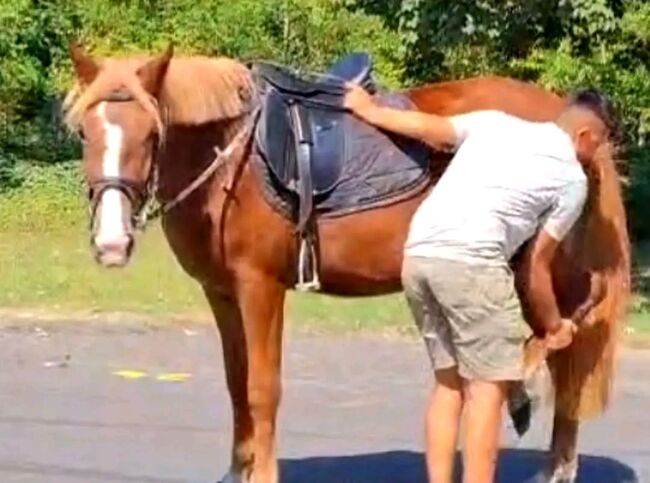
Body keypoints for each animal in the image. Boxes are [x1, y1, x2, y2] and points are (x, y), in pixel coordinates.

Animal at [63, 46, 624, 483]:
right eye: (88, 134)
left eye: (151, 134)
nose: (111, 243)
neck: (228, 158)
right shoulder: (220, 293)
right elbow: (236, 385)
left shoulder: (260, 287)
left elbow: (262, 389)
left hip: (547, 274)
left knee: (568, 363)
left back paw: (557, 466)